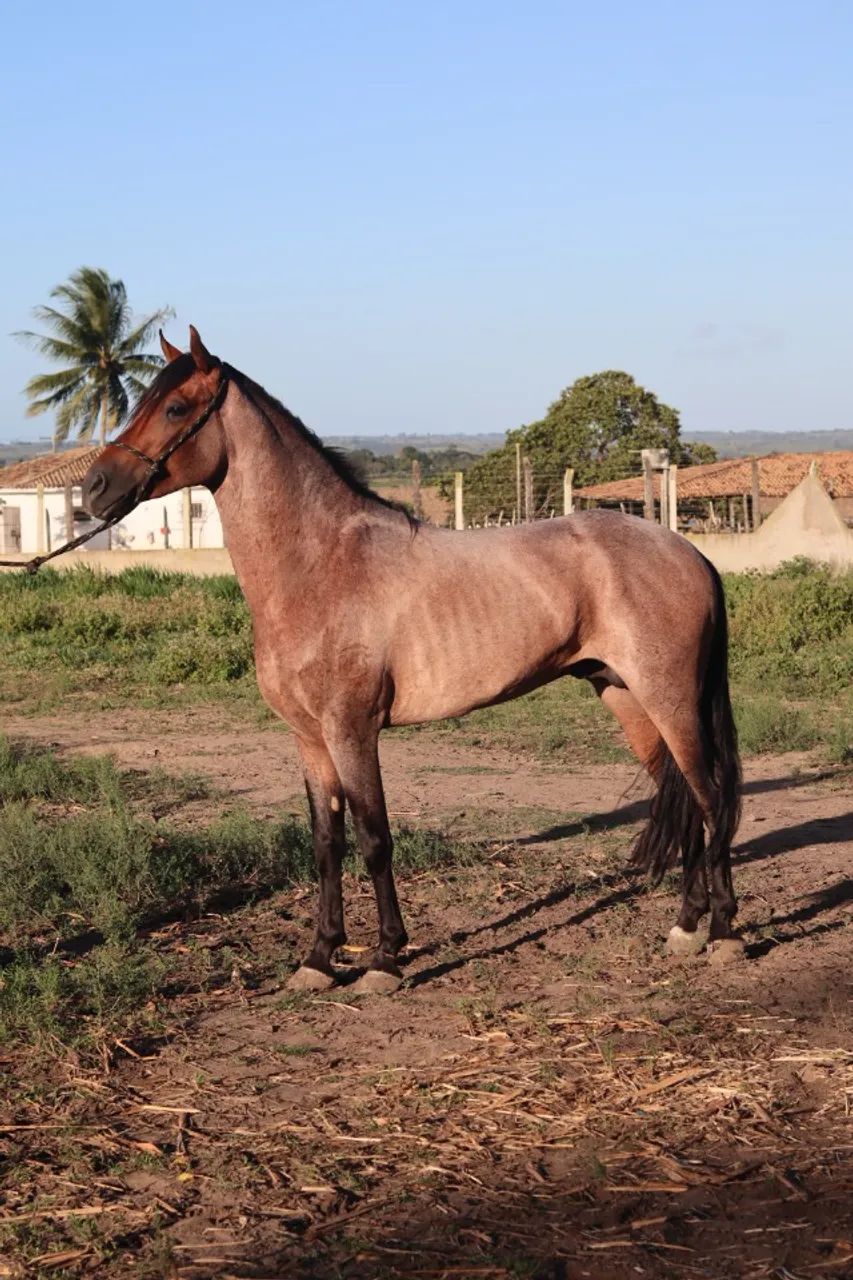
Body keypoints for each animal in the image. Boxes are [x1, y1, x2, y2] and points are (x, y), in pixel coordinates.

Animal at [81, 327, 742, 994]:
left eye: (174, 408)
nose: (94, 488)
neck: (320, 564)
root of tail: (686, 551)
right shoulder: (309, 739)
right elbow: (326, 842)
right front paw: (318, 959)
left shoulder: (352, 731)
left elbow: (374, 838)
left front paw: (385, 959)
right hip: (626, 697)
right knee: (686, 801)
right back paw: (686, 927)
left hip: (669, 700)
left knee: (713, 799)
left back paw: (724, 934)